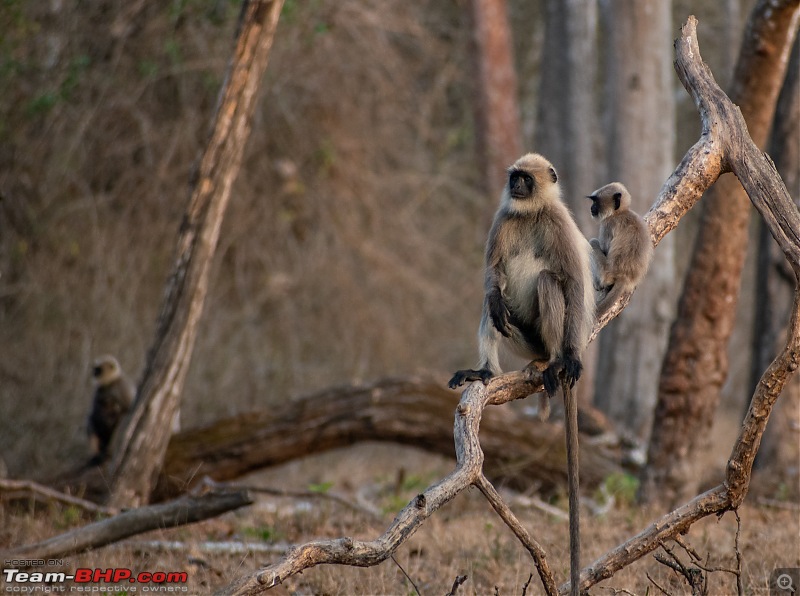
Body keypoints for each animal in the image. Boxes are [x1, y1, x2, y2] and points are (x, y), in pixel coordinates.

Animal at [450, 154, 592, 596]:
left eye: (526, 180)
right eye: (515, 178)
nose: (515, 187)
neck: (529, 214)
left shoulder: (558, 221)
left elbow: (574, 282)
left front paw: (574, 360)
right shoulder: (504, 218)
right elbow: (493, 274)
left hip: (544, 338)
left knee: (550, 280)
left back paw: (555, 362)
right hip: (521, 338)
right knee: (492, 301)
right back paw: (485, 370)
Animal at [584, 182, 652, 318]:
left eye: (596, 202)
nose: (591, 208)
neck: (620, 213)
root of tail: (624, 276)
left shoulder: (607, 225)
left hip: (606, 272)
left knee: (593, 242)